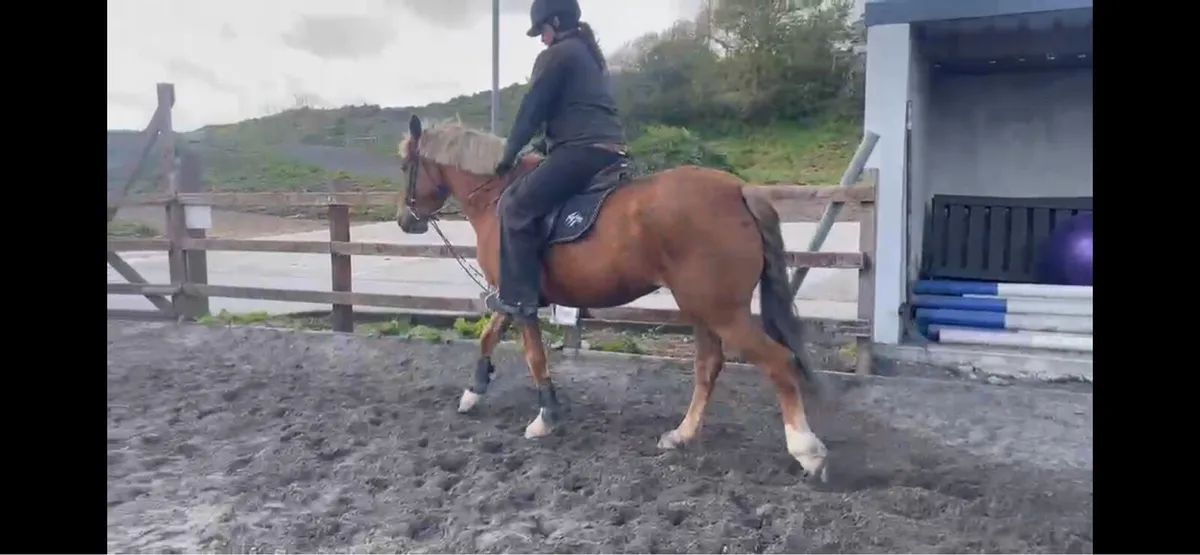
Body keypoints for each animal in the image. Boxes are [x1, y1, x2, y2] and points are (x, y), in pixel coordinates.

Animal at [395, 114, 830, 479]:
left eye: (404, 167)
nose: (404, 220)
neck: (497, 196)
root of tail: (738, 190)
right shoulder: (512, 293)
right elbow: (487, 337)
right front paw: (473, 393)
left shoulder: (520, 299)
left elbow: (534, 356)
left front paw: (546, 416)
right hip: (703, 310)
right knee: (709, 366)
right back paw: (681, 434)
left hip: (723, 312)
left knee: (778, 361)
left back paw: (806, 451)